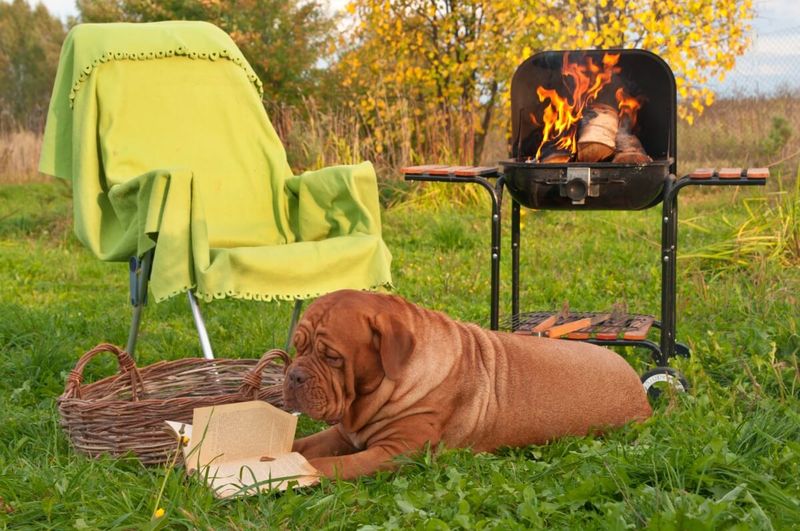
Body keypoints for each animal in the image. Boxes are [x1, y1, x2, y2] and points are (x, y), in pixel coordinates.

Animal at [284, 294, 652, 480]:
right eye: (298, 347)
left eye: (332, 357)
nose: (293, 376)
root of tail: (642, 393)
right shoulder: (343, 434)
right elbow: (302, 445)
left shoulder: (397, 452)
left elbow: (333, 465)